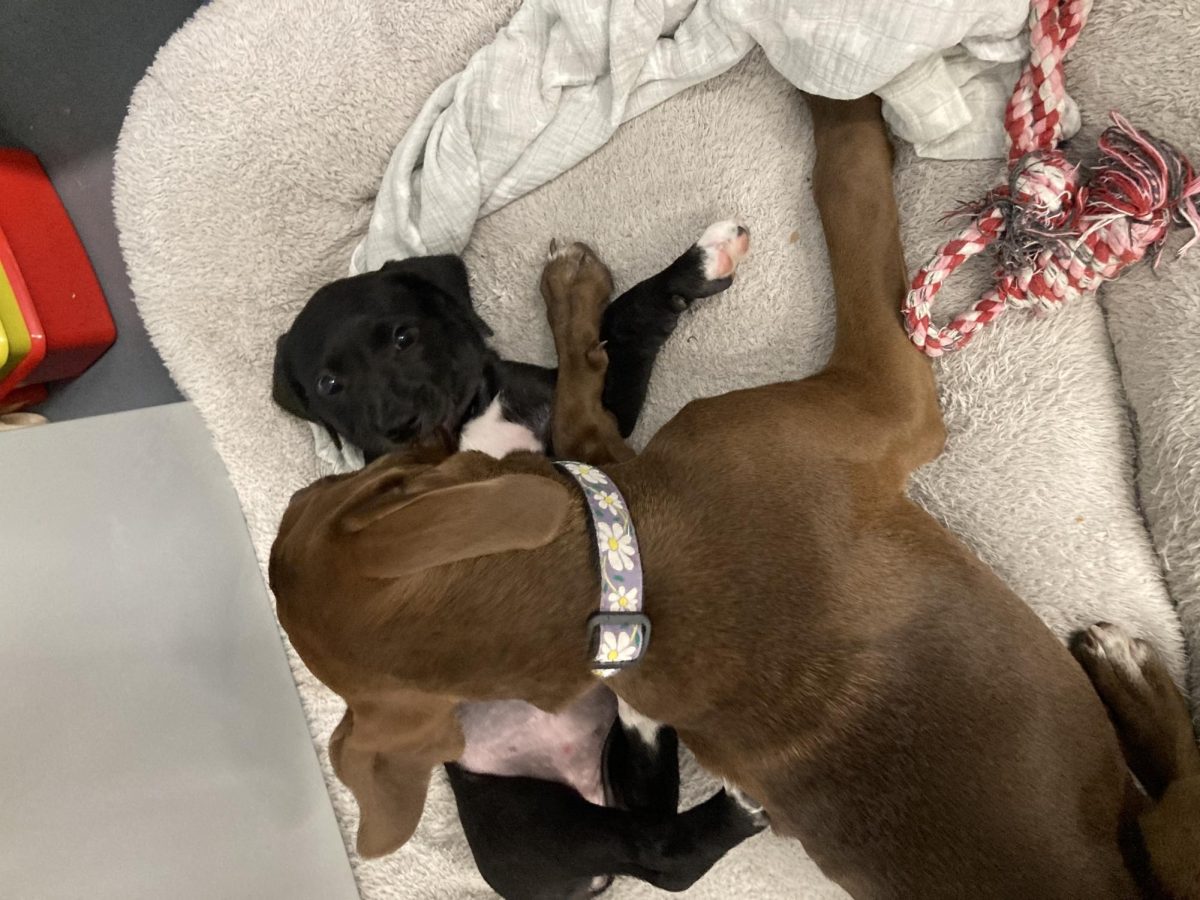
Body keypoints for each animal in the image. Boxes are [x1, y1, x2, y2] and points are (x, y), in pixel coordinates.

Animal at [276, 222, 753, 897]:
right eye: (330, 385)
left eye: (404, 336)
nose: (399, 426)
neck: (475, 416)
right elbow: (590, 371)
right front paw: (575, 290)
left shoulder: (599, 408)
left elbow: (623, 324)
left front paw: (688, 268)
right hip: (531, 822)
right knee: (659, 850)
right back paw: (737, 802)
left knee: (649, 794)